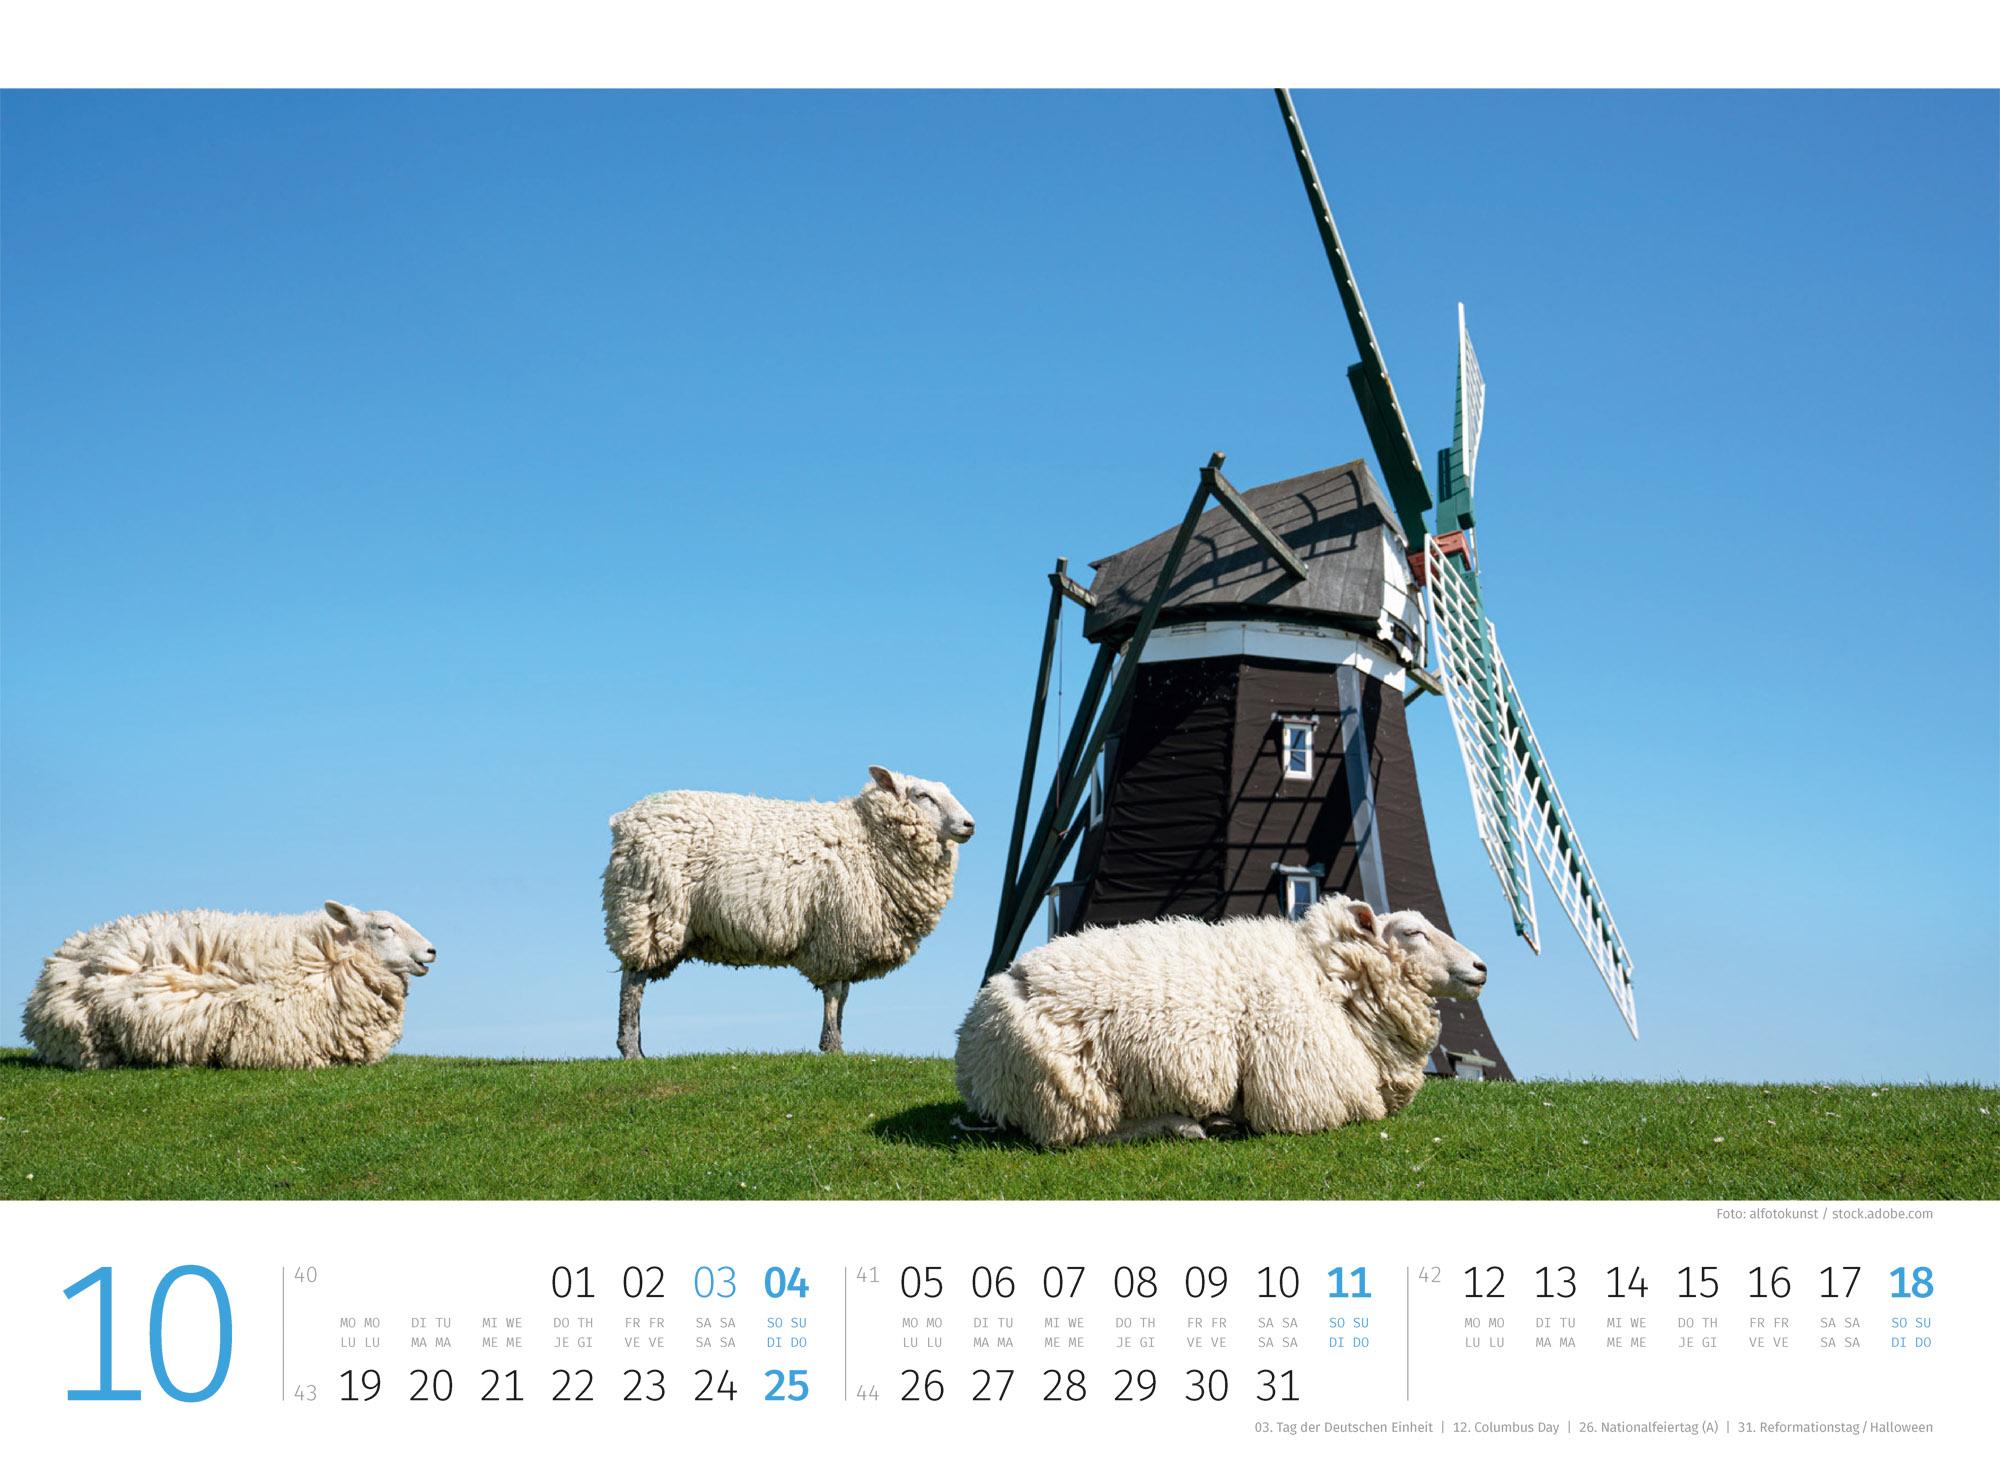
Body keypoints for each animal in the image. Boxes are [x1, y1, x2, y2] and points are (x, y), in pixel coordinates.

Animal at [602, 765, 975, 1058]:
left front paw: (837, 1041)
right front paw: (832, 1047)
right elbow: (834, 993)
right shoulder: (836, 933)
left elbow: (844, 996)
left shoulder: (847, 941)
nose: (969, 824)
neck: (868, 837)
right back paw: (631, 1050)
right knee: (632, 982)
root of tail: (625, 821)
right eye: (922, 796)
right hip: (648, 910)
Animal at [953, 894, 1488, 1147]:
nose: (1481, 966)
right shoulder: (1302, 1096)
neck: (1328, 982)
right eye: (1414, 933)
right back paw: (1188, 1125)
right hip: (1070, 1092)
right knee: (1088, 1134)